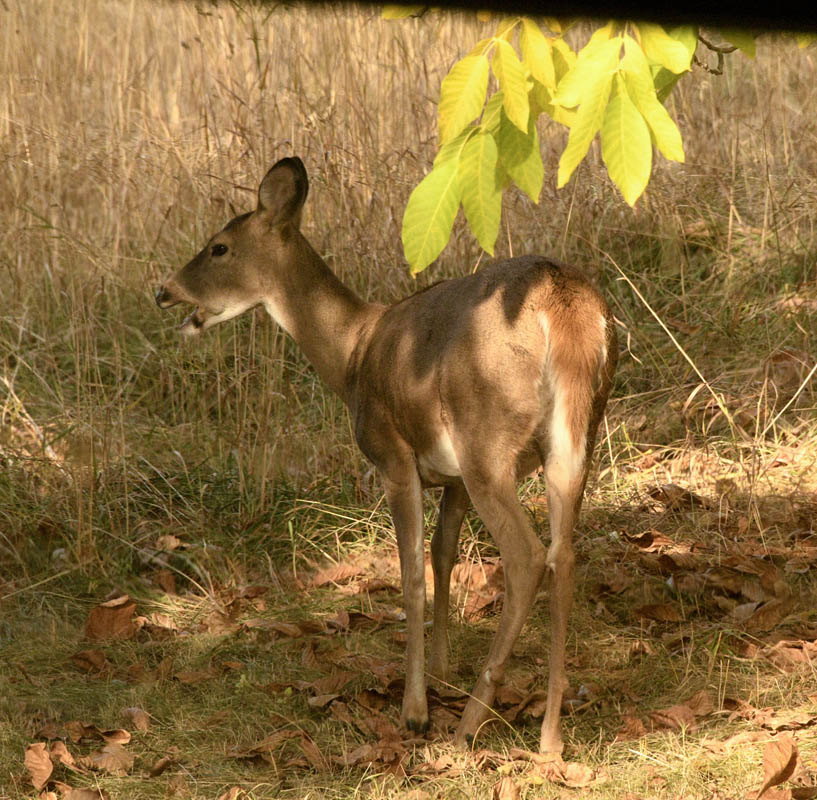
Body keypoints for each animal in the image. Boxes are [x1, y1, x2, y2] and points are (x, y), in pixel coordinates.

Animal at [156, 156, 617, 755]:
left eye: (219, 247)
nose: (164, 292)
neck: (353, 352)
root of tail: (568, 311)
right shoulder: (450, 478)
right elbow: (443, 553)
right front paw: (442, 670)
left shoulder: (394, 456)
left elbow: (410, 571)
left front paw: (415, 708)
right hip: (576, 436)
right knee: (565, 553)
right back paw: (550, 736)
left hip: (485, 435)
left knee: (527, 556)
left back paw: (469, 724)